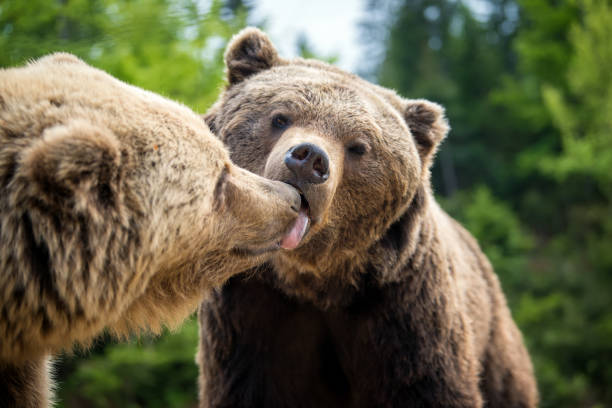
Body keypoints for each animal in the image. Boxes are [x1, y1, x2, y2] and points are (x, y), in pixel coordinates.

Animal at [198, 28, 536, 408]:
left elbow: (428, 386)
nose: (308, 159)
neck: (316, 281)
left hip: (493, 338)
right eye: (280, 117)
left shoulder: (402, 310)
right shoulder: (252, 314)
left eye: (358, 146)